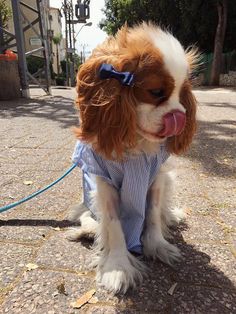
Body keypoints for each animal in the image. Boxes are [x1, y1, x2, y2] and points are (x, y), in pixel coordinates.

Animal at [66, 22, 197, 294]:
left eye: (183, 95)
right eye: (156, 92)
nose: (179, 116)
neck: (135, 142)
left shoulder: (156, 177)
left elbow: (154, 213)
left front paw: (157, 245)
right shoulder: (103, 183)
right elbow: (114, 225)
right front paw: (117, 267)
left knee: (164, 209)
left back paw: (173, 215)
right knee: (89, 221)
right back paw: (83, 232)